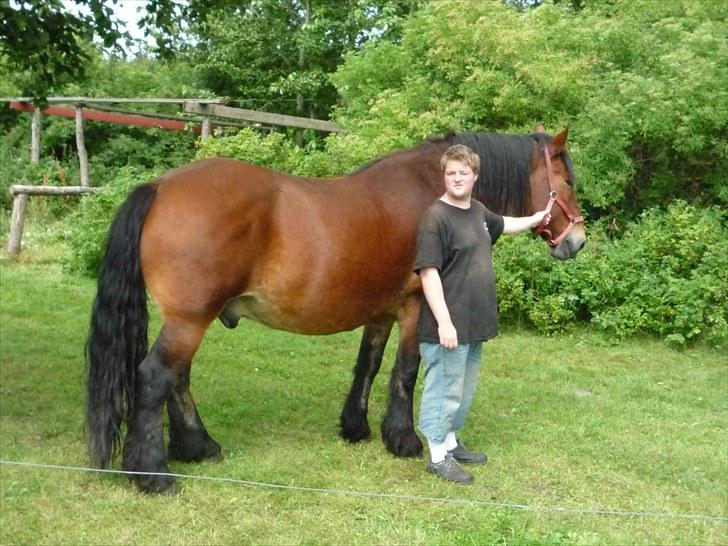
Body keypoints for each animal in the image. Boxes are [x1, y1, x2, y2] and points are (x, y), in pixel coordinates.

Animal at [86, 125, 584, 490]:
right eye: (567, 181)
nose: (577, 241)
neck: (431, 189)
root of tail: (160, 185)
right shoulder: (415, 306)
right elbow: (404, 372)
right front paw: (403, 440)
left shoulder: (380, 312)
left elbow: (368, 365)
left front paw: (356, 427)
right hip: (190, 320)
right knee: (156, 377)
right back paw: (154, 474)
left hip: (187, 319)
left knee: (177, 379)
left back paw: (198, 446)